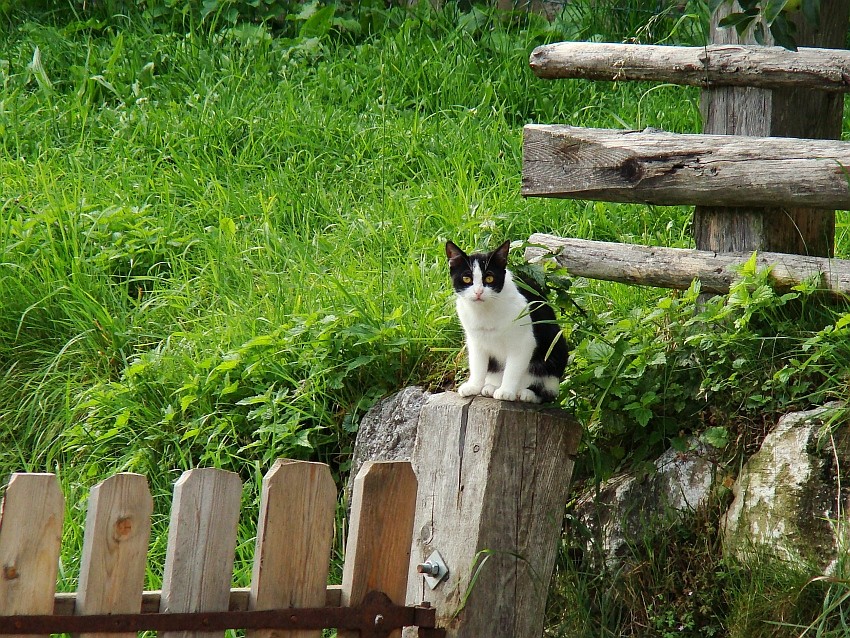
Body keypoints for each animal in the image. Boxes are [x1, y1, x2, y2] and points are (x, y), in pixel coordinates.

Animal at [440, 240, 568, 404]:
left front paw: (506, 391)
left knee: (547, 390)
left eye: (489, 278)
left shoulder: (524, 341)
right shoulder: (475, 340)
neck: (485, 311)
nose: (478, 292)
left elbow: (512, 369)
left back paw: (527, 393)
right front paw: (473, 386)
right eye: (466, 279)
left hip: (556, 349)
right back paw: (491, 387)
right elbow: (477, 365)